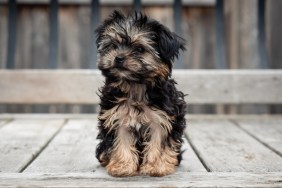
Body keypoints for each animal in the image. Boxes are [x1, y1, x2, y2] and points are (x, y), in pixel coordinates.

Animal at [96, 11, 186, 177]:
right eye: (113, 46)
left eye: (139, 49)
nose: (118, 57)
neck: (135, 86)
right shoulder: (118, 117)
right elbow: (122, 141)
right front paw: (122, 166)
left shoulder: (162, 118)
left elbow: (159, 141)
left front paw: (155, 166)